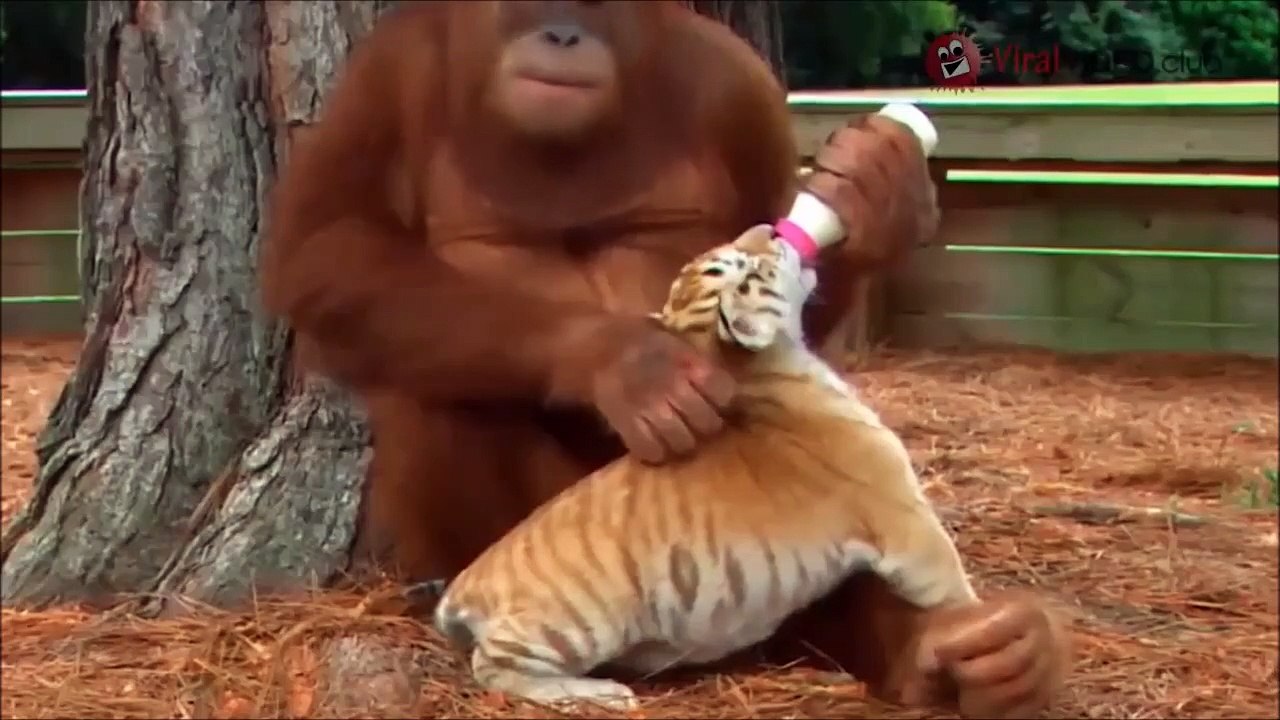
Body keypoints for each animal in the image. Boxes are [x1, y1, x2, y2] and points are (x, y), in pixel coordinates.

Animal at [430, 223, 978, 711]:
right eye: (742, 266)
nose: (772, 229)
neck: (758, 370)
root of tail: (466, 584)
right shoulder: (906, 525)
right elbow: (955, 588)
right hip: (567, 626)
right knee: (495, 668)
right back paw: (600, 694)